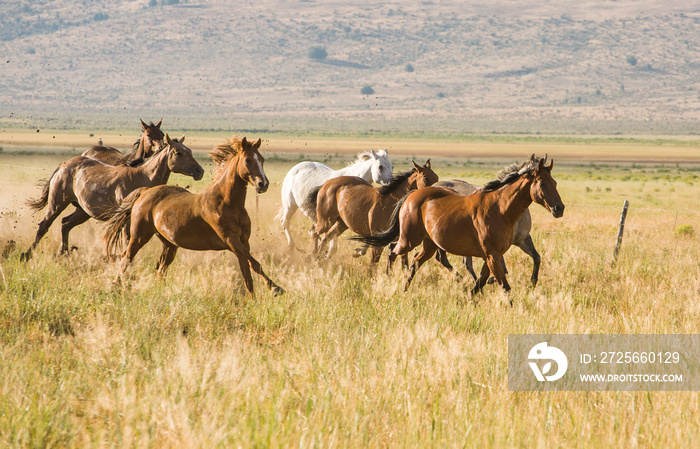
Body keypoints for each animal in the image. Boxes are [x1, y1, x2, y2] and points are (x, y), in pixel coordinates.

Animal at [19, 133, 204, 260]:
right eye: (178, 152)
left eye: (189, 151)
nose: (199, 171)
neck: (142, 177)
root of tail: (64, 165)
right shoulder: (127, 219)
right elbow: (127, 239)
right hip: (57, 203)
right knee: (44, 225)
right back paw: (28, 254)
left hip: (83, 211)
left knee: (65, 224)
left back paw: (63, 253)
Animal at [102, 136, 284, 298]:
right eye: (247, 160)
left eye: (262, 159)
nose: (263, 184)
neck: (228, 204)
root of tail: (145, 192)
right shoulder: (231, 240)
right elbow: (255, 264)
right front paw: (276, 288)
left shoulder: (243, 243)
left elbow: (248, 275)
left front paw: (254, 301)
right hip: (139, 236)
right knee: (126, 258)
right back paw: (116, 287)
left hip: (169, 244)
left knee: (160, 269)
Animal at [310, 159, 438, 262]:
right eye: (425, 178)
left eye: (436, 177)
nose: (436, 190)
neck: (391, 203)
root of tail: (327, 183)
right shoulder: (378, 243)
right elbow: (373, 265)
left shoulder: (402, 242)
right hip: (325, 221)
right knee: (315, 233)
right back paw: (312, 258)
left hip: (341, 224)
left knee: (326, 237)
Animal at [356, 154, 564, 298]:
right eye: (542, 184)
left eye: (555, 182)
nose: (559, 208)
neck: (499, 208)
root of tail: (412, 194)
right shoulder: (492, 255)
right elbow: (504, 285)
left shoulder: (496, 253)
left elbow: (481, 283)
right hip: (409, 239)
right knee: (392, 251)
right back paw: (388, 280)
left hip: (429, 245)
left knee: (415, 262)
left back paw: (406, 288)